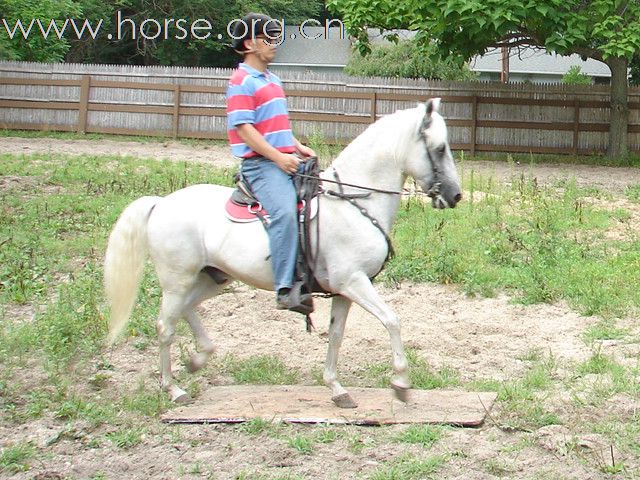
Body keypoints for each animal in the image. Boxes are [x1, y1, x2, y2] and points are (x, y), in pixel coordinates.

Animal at [106, 98, 464, 408]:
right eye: (440, 148)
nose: (455, 195)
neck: (352, 204)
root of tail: (160, 203)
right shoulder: (354, 282)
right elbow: (392, 320)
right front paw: (401, 383)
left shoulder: (344, 291)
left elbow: (336, 335)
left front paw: (336, 388)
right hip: (177, 280)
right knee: (165, 326)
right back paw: (173, 389)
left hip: (211, 278)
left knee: (185, 311)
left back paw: (198, 359)